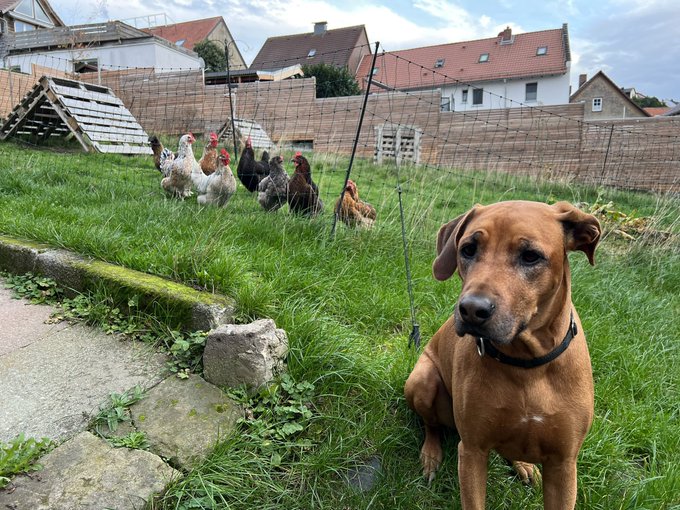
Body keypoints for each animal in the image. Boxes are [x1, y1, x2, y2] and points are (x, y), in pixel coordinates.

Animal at [404, 200, 601, 509]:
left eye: (531, 256)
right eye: (468, 249)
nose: (472, 310)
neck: (526, 363)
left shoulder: (564, 464)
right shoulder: (472, 450)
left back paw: (522, 464)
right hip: (422, 381)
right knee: (431, 425)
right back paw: (430, 455)